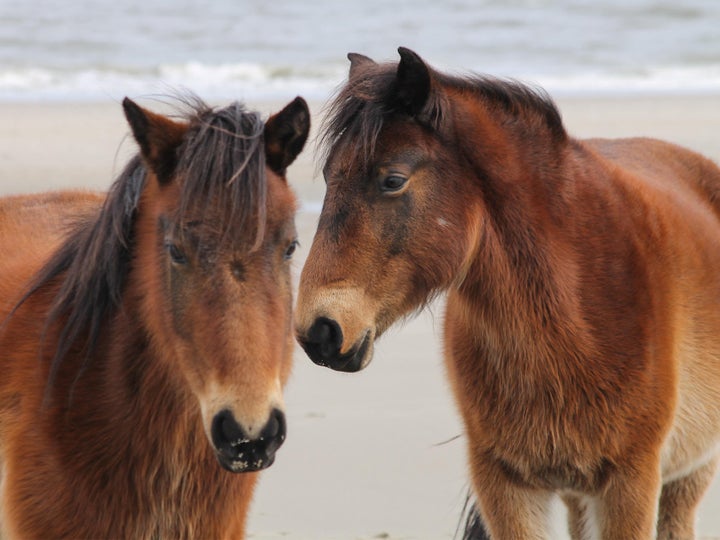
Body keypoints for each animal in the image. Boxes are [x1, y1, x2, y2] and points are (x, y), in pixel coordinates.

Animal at [292, 47, 720, 540]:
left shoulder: (630, 484)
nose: (318, 331)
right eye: (328, 177)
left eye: (392, 180)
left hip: (688, 476)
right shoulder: (506, 485)